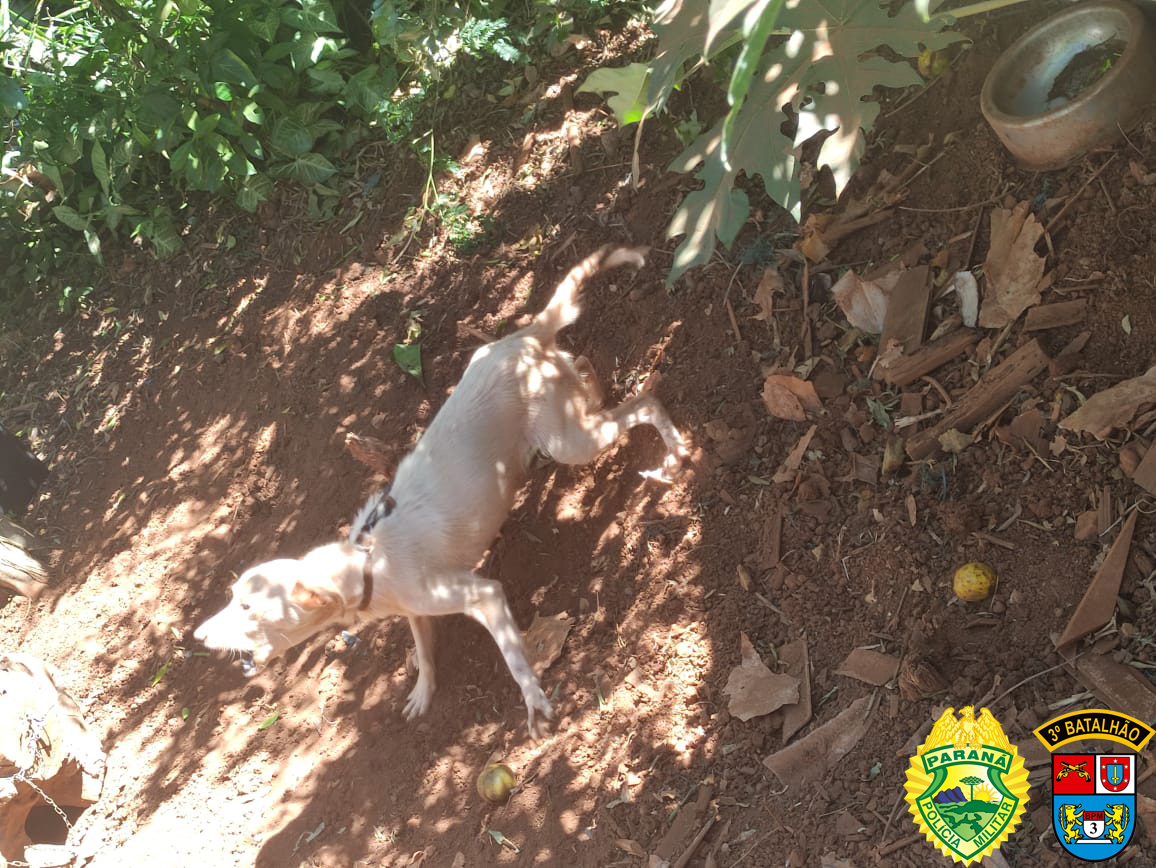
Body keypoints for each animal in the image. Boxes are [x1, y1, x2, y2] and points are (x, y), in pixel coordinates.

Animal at [193, 246, 688, 736]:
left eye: (247, 607)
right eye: (232, 597)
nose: (197, 636)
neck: (369, 562)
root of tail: (523, 337)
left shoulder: (483, 595)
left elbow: (515, 661)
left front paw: (533, 702)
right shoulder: (416, 611)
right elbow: (424, 653)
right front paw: (423, 692)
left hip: (570, 443)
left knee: (645, 403)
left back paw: (673, 454)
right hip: (559, 413)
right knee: (587, 369)